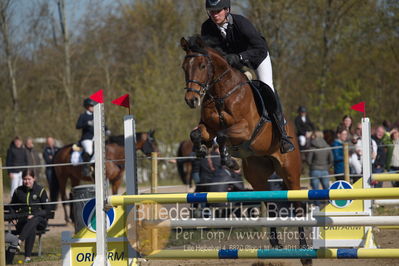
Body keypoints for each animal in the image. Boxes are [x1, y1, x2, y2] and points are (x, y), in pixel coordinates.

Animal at [181, 35, 312, 266]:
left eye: (203, 65)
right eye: (184, 67)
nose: (192, 100)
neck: (221, 93)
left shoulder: (245, 129)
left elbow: (222, 135)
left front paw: (229, 160)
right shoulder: (207, 126)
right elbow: (197, 134)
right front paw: (202, 150)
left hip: (290, 171)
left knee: (297, 205)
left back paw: (304, 251)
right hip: (257, 175)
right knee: (270, 202)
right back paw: (275, 243)